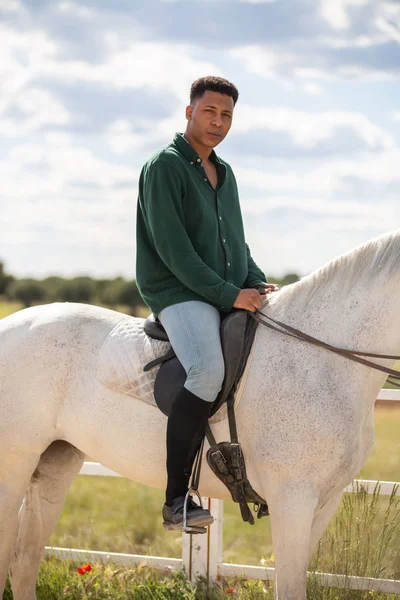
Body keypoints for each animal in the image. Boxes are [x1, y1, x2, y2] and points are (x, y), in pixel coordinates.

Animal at [0, 231, 398, 600]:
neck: (320, 358)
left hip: (55, 463)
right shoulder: (293, 501)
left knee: (24, 561)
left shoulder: (324, 502)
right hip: (15, 465)